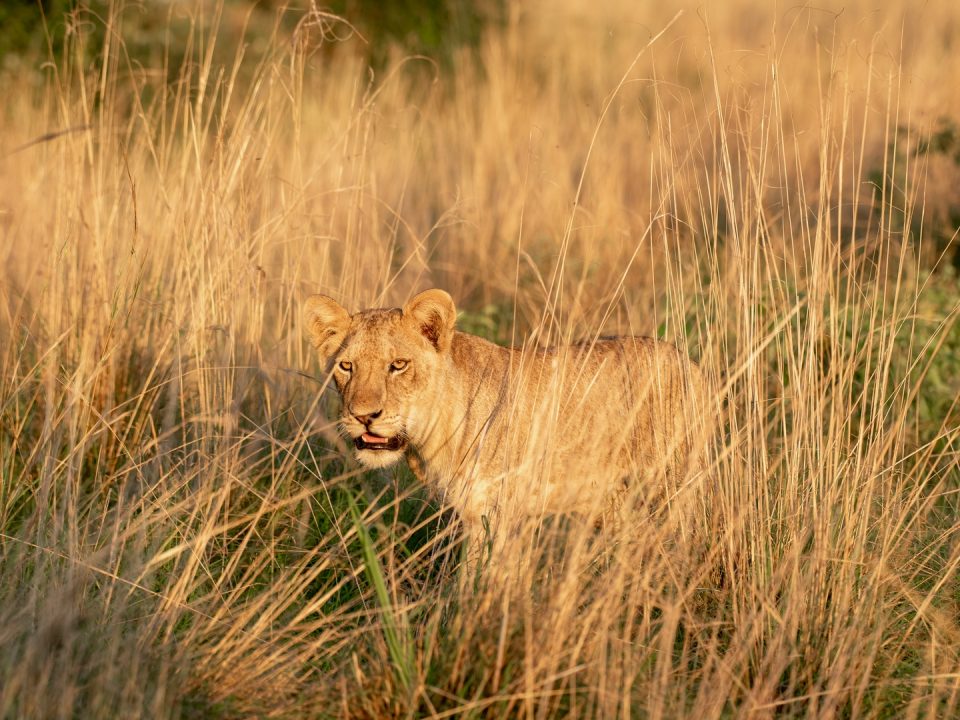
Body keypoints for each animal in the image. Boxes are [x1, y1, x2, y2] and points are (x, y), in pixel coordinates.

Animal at [304, 290, 708, 572]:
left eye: (399, 365)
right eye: (346, 366)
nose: (363, 416)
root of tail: (687, 361)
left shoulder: (495, 512)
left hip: (672, 485)